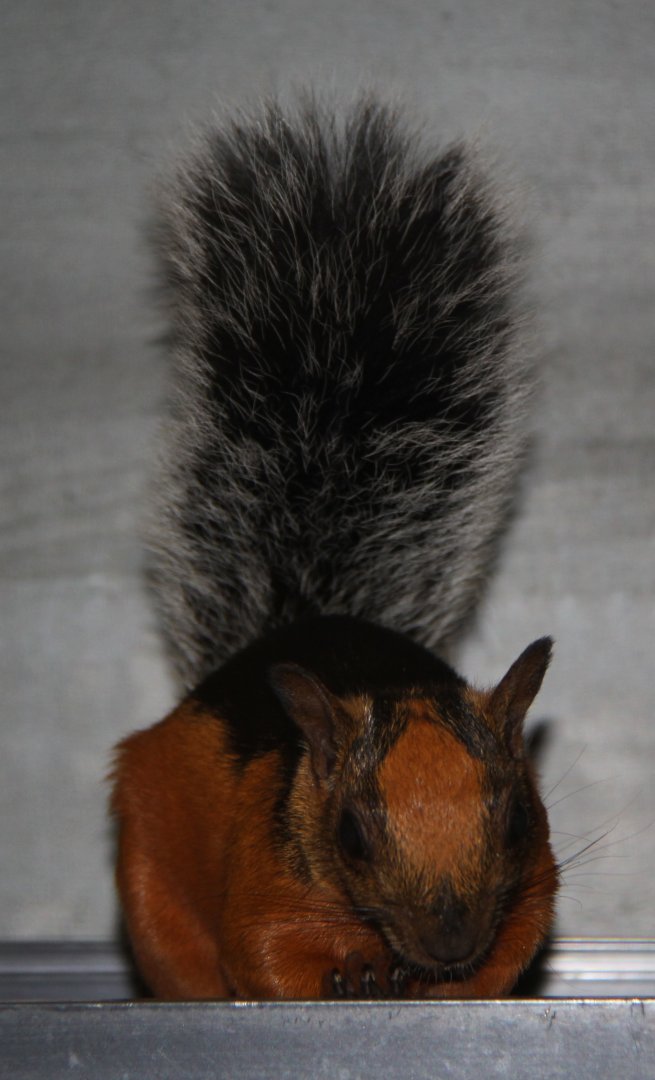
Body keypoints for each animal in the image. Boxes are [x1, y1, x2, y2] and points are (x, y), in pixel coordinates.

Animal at [111, 95, 558, 1000]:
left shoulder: (532, 890)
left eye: (516, 820)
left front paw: (434, 979)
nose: (448, 939)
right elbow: (266, 960)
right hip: (149, 886)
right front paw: (351, 979)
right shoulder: (262, 888)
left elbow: (503, 958)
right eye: (349, 833)